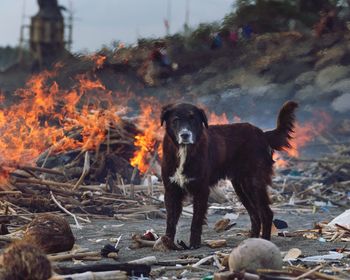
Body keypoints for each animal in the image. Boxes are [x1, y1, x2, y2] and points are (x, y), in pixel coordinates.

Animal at [160, 100, 296, 247]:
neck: (184, 150)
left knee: (266, 213)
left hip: (254, 182)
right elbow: (170, 221)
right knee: (255, 215)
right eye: (176, 120)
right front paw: (167, 243)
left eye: (193, 119)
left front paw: (194, 244)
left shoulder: (201, 190)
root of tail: (262, 134)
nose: (185, 135)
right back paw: (251, 240)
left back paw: (264, 241)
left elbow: (196, 221)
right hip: (241, 187)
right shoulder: (171, 190)